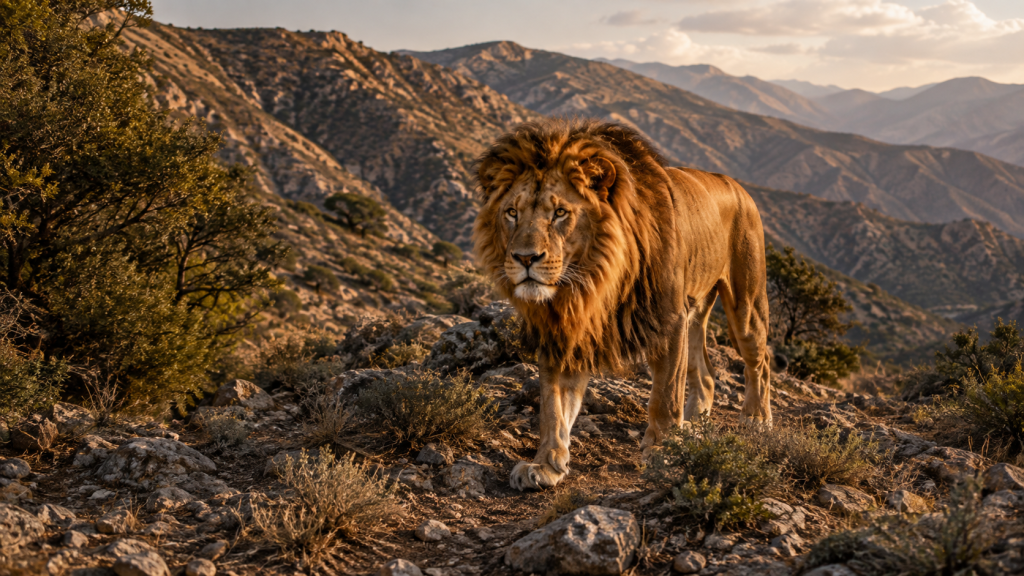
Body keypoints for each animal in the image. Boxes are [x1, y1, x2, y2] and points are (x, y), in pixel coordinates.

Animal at [473, 118, 773, 491]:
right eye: (512, 212)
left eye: (560, 213)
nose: (525, 258)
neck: (589, 283)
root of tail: (736, 186)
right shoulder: (565, 330)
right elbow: (552, 404)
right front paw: (545, 464)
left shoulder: (669, 319)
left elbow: (664, 396)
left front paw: (663, 450)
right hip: (696, 311)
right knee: (704, 375)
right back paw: (693, 427)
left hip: (745, 303)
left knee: (760, 360)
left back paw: (756, 418)